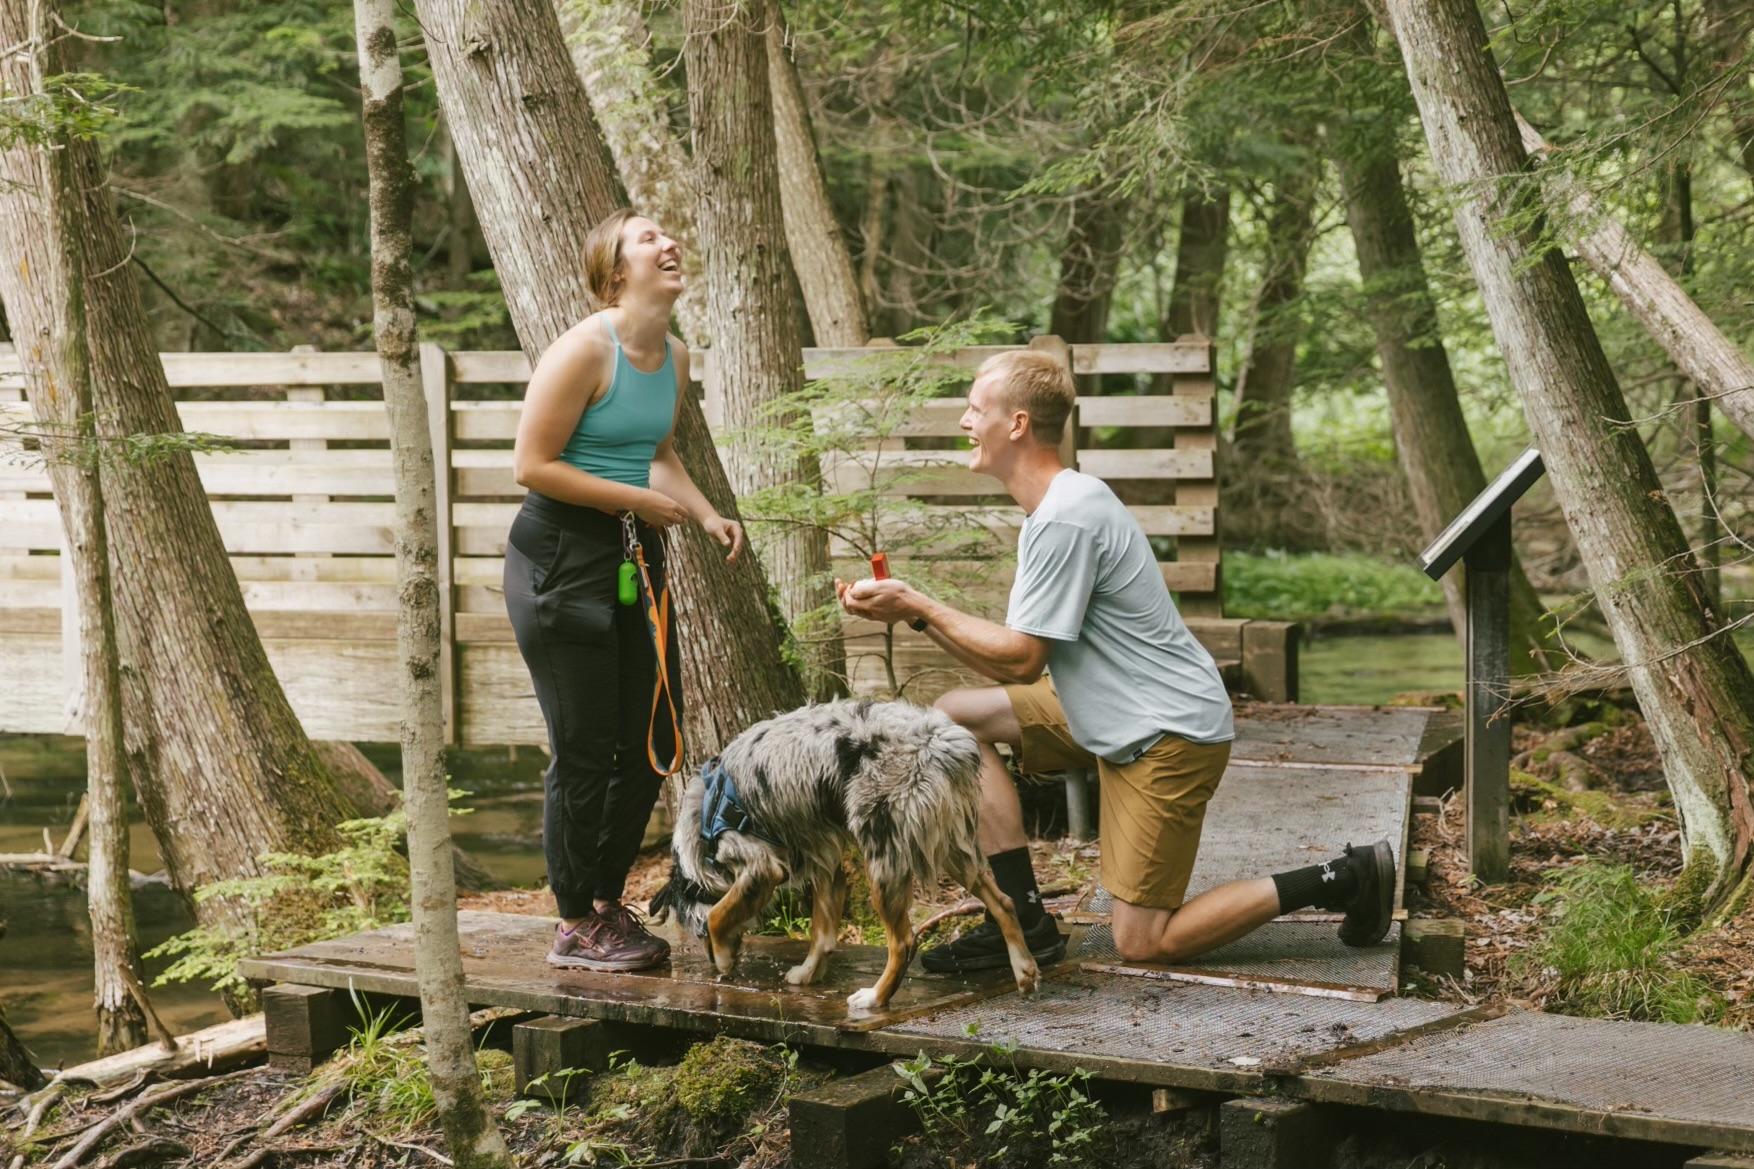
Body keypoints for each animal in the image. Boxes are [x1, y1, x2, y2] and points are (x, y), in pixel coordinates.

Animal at [655, 695, 1038, 1004]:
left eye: (698, 934)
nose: (710, 958)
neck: (705, 818)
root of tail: (943, 741)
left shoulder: (761, 867)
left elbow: (719, 914)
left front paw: (722, 958)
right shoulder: (825, 862)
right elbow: (822, 933)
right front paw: (807, 973)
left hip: (884, 856)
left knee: (904, 942)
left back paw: (874, 999)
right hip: (948, 846)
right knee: (1003, 901)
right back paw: (1025, 971)